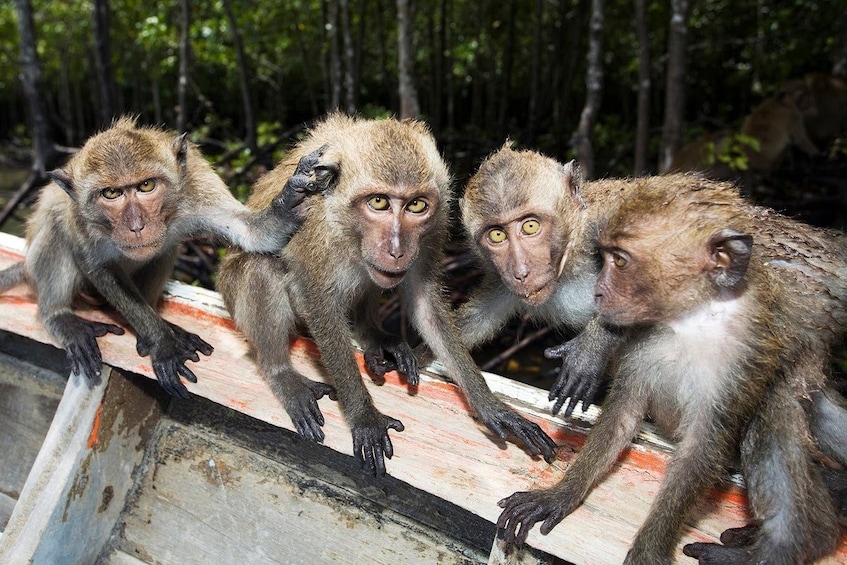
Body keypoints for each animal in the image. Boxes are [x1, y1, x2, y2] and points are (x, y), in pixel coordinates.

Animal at [0, 115, 322, 396]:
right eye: (111, 194)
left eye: (146, 185)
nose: (136, 226)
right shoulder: (80, 218)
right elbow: (98, 266)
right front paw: (162, 341)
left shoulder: (197, 184)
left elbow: (252, 232)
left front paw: (287, 204)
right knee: (56, 228)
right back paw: (59, 315)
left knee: (165, 249)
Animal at [217, 114, 556, 476]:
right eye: (378, 202)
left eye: (416, 205)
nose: (396, 248)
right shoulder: (315, 222)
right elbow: (318, 301)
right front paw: (364, 415)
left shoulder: (435, 226)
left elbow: (425, 304)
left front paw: (489, 405)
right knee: (260, 267)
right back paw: (282, 374)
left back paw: (375, 337)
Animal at [496, 178, 840, 560]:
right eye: (606, 258)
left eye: (620, 261)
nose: (598, 292)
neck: (687, 321)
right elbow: (623, 417)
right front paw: (562, 494)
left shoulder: (747, 351)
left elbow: (699, 452)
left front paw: (649, 549)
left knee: (774, 406)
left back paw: (792, 543)